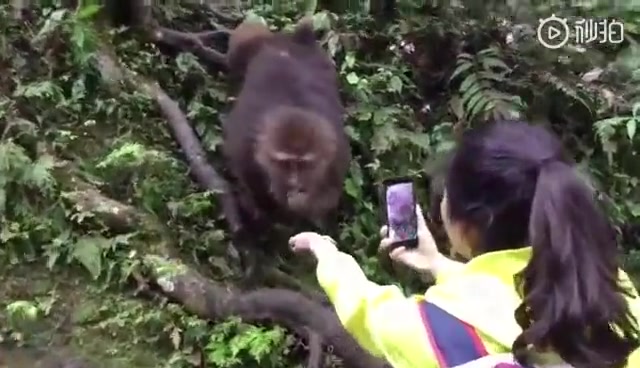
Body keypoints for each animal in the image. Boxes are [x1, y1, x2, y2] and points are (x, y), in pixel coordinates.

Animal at [221, 18, 350, 239]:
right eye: (286, 164)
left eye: (304, 165)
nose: (294, 183)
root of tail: (291, 43)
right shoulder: (244, 147)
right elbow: (249, 178)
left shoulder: (336, 156)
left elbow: (331, 195)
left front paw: (301, 203)